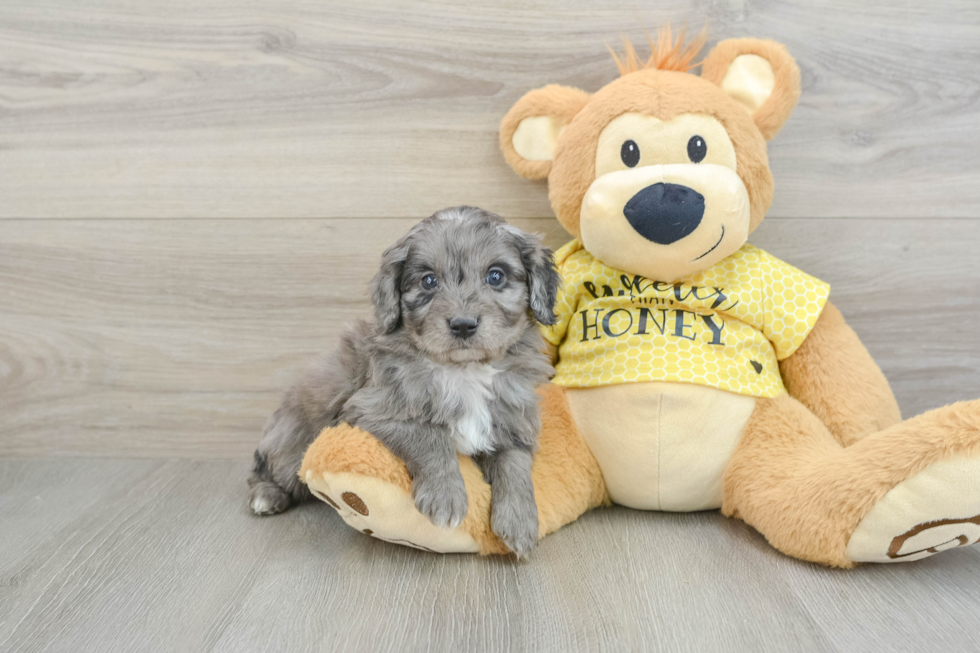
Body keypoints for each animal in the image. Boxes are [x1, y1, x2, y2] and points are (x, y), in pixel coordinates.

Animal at [247, 205, 560, 556]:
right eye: (428, 281)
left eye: (496, 276)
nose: (463, 325)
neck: (463, 370)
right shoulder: (371, 409)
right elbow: (430, 436)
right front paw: (446, 496)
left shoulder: (512, 421)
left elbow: (515, 466)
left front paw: (520, 523)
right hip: (291, 445)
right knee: (265, 469)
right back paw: (266, 496)